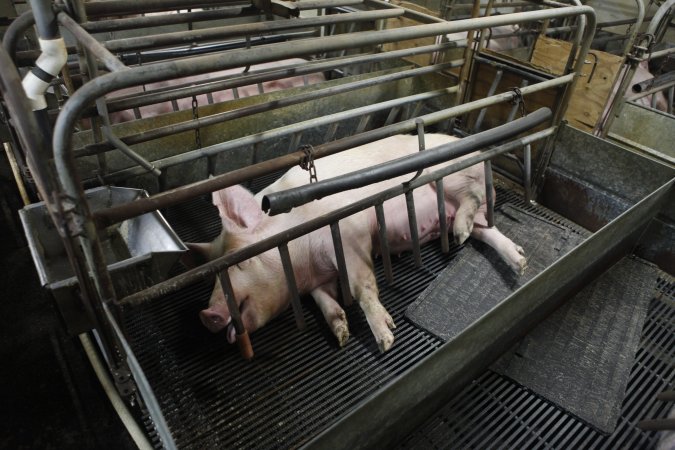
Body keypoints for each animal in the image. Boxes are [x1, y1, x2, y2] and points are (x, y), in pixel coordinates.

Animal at [190, 134, 528, 352]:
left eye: (241, 261)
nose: (206, 316)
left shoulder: (351, 235)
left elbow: (361, 287)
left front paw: (386, 340)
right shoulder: (318, 279)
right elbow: (325, 301)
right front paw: (341, 334)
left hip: (448, 176)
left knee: (472, 195)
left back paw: (460, 234)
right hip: (467, 212)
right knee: (487, 229)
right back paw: (519, 262)